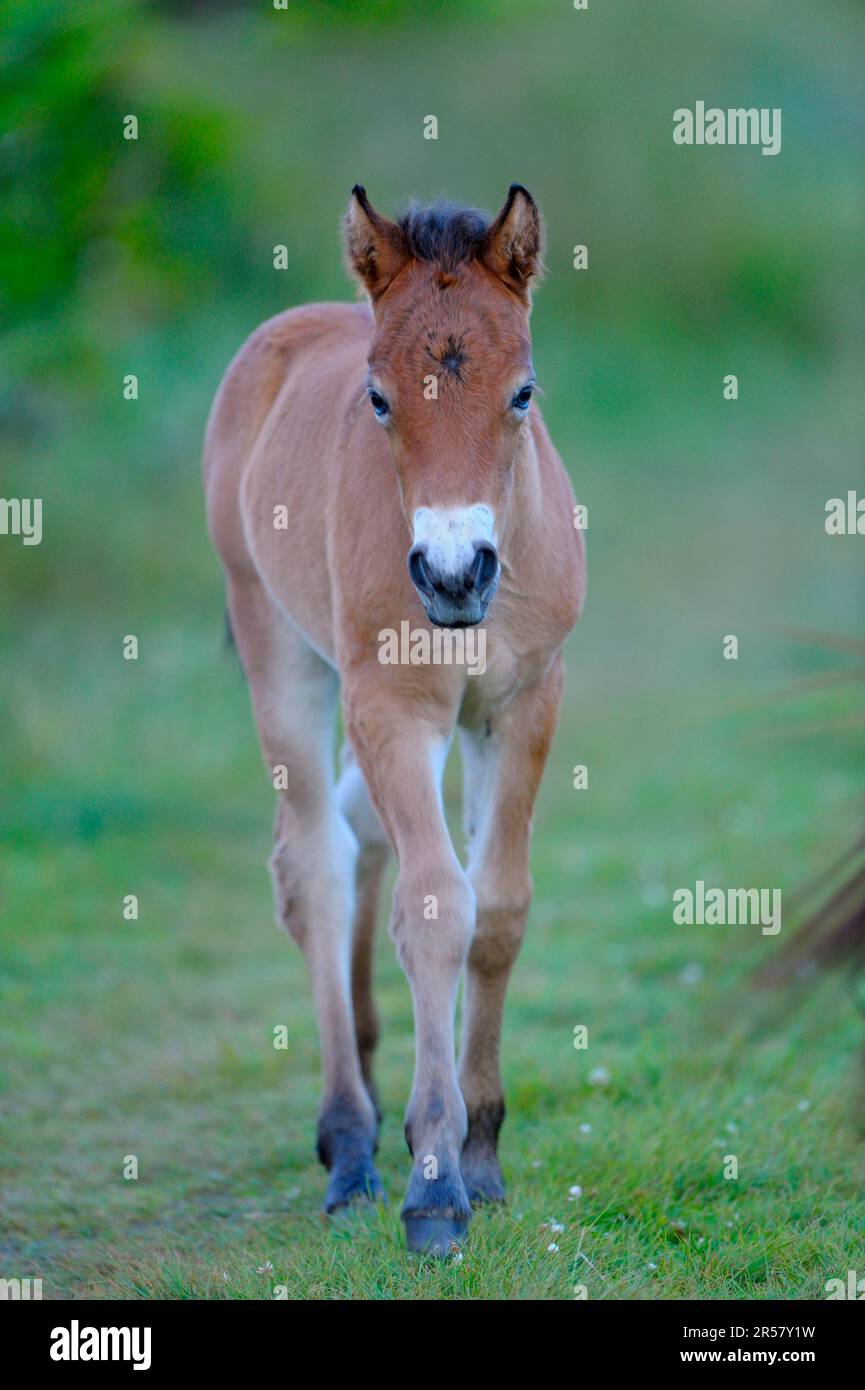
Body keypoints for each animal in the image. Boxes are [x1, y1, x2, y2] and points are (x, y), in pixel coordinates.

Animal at [201, 184, 589, 1262]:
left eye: (524, 393)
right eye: (377, 399)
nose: (454, 575)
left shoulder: (521, 702)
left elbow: (498, 909)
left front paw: (482, 1154)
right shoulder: (393, 705)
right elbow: (435, 908)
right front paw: (433, 1186)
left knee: (357, 836)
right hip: (277, 645)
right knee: (317, 866)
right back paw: (349, 1145)